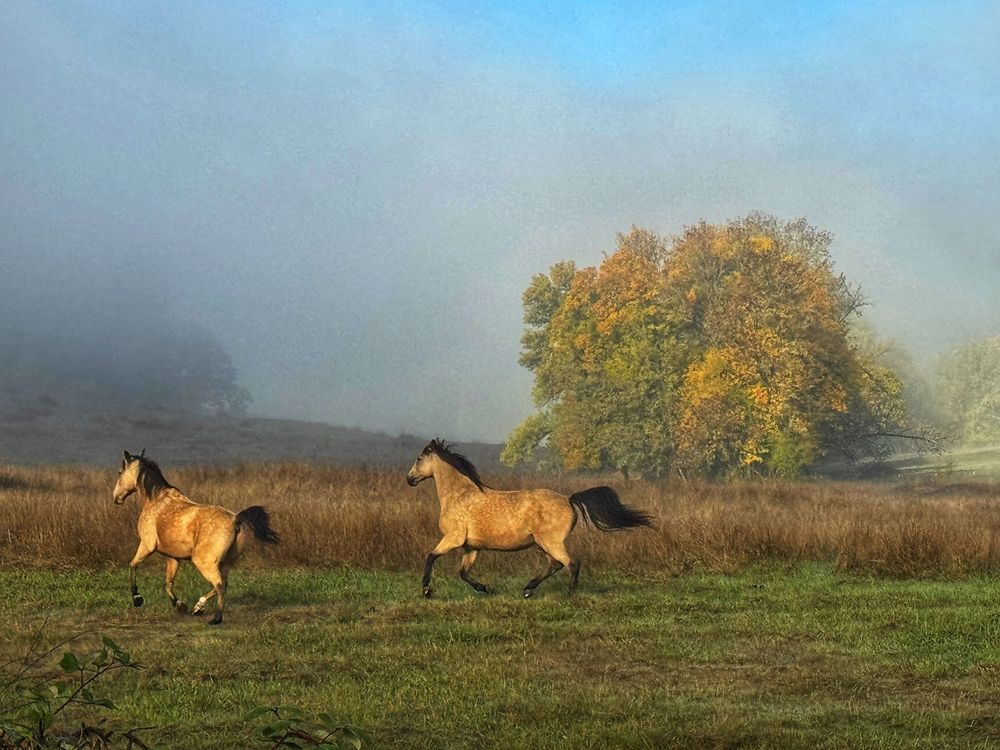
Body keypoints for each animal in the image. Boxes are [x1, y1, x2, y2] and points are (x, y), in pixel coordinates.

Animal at [112, 450, 279, 625]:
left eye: (120, 472)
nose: (116, 498)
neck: (155, 500)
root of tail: (235, 520)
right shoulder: (173, 557)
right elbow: (168, 583)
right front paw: (180, 605)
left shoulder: (147, 545)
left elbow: (133, 565)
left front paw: (137, 598)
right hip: (226, 563)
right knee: (224, 584)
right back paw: (199, 607)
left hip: (203, 562)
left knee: (219, 584)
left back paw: (216, 618)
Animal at [406, 439, 654, 598]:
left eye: (418, 458)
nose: (409, 479)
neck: (460, 496)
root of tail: (568, 500)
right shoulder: (471, 547)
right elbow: (463, 573)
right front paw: (487, 589)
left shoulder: (452, 539)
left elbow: (430, 557)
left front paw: (427, 591)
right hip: (542, 544)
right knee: (555, 564)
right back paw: (527, 590)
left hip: (550, 542)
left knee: (571, 563)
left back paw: (569, 594)